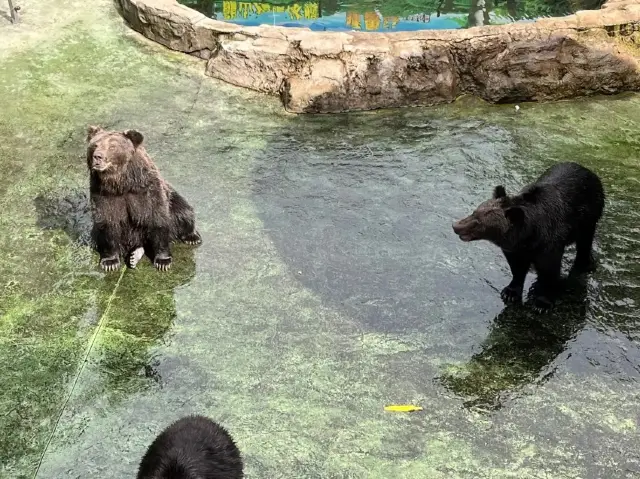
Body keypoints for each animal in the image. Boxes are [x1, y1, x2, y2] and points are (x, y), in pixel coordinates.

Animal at [85, 125, 200, 272]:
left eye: (112, 146)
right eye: (95, 144)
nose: (97, 156)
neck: (120, 183)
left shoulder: (146, 190)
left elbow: (157, 217)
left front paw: (163, 261)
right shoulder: (103, 193)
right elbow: (107, 221)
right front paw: (110, 262)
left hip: (173, 200)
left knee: (183, 211)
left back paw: (192, 237)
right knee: (96, 235)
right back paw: (134, 255)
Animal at [450, 162, 604, 312]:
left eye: (479, 222)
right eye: (474, 212)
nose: (455, 226)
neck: (528, 237)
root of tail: (587, 169)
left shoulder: (549, 244)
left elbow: (549, 270)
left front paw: (542, 302)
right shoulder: (515, 249)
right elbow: (517, 268)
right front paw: (510, 292)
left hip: (589, 215)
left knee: (585, 240)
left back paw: (585, 263)